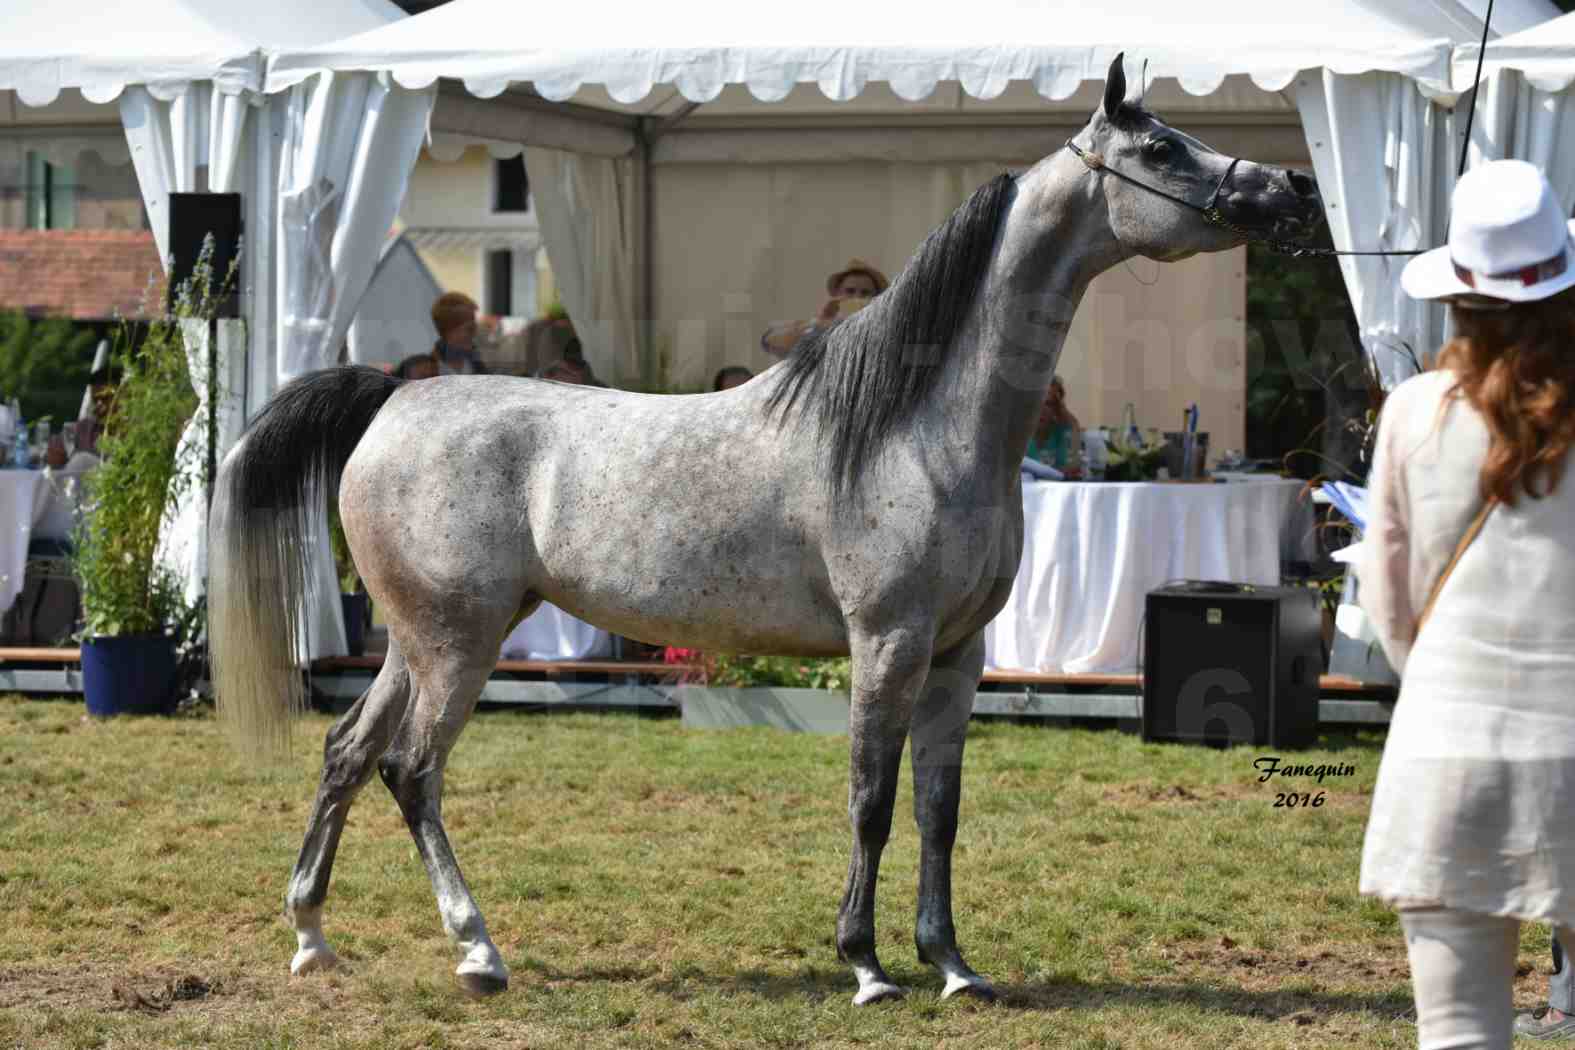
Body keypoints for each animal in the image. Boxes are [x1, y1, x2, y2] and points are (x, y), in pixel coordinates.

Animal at [209, 57, 1316, 1007]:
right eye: (1161, 149)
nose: (1290, 190)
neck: (915, 425)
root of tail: (392, 401)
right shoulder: (888, 643)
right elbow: (872, 797)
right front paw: (866, 965)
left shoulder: (958, 655)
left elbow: (940, 810)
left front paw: (954, 966)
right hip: (458, 643)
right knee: (412, 771)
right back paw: (478, 953)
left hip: (423, 637)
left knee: (348, 752)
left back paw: (312, 938)